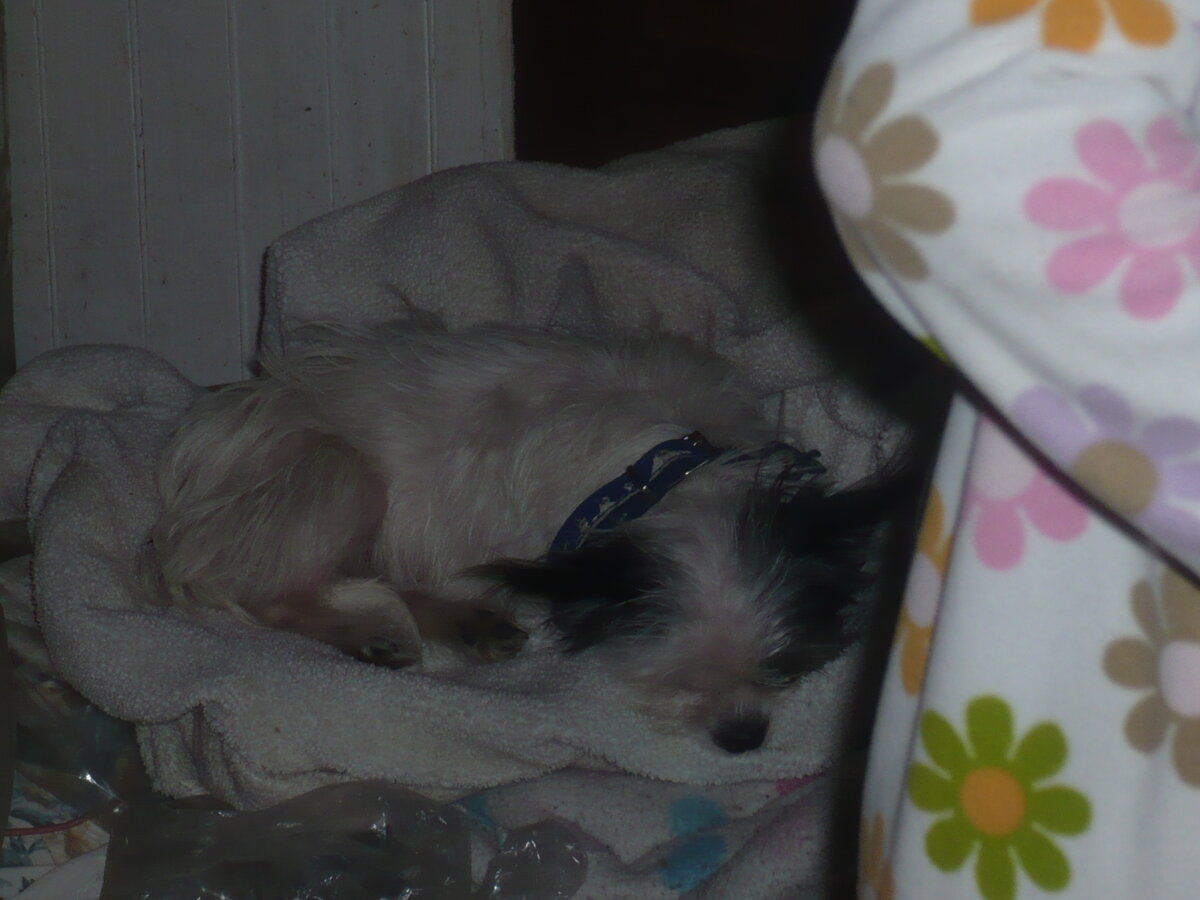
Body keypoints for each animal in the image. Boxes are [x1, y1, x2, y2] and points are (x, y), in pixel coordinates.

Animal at [145, 321, 906, 754]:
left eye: (787, 666)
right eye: (680, 681)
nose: (743, 738)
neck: (661, 469)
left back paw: (465, 622)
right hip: (335, 475)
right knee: (276, 592)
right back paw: (372, 634)